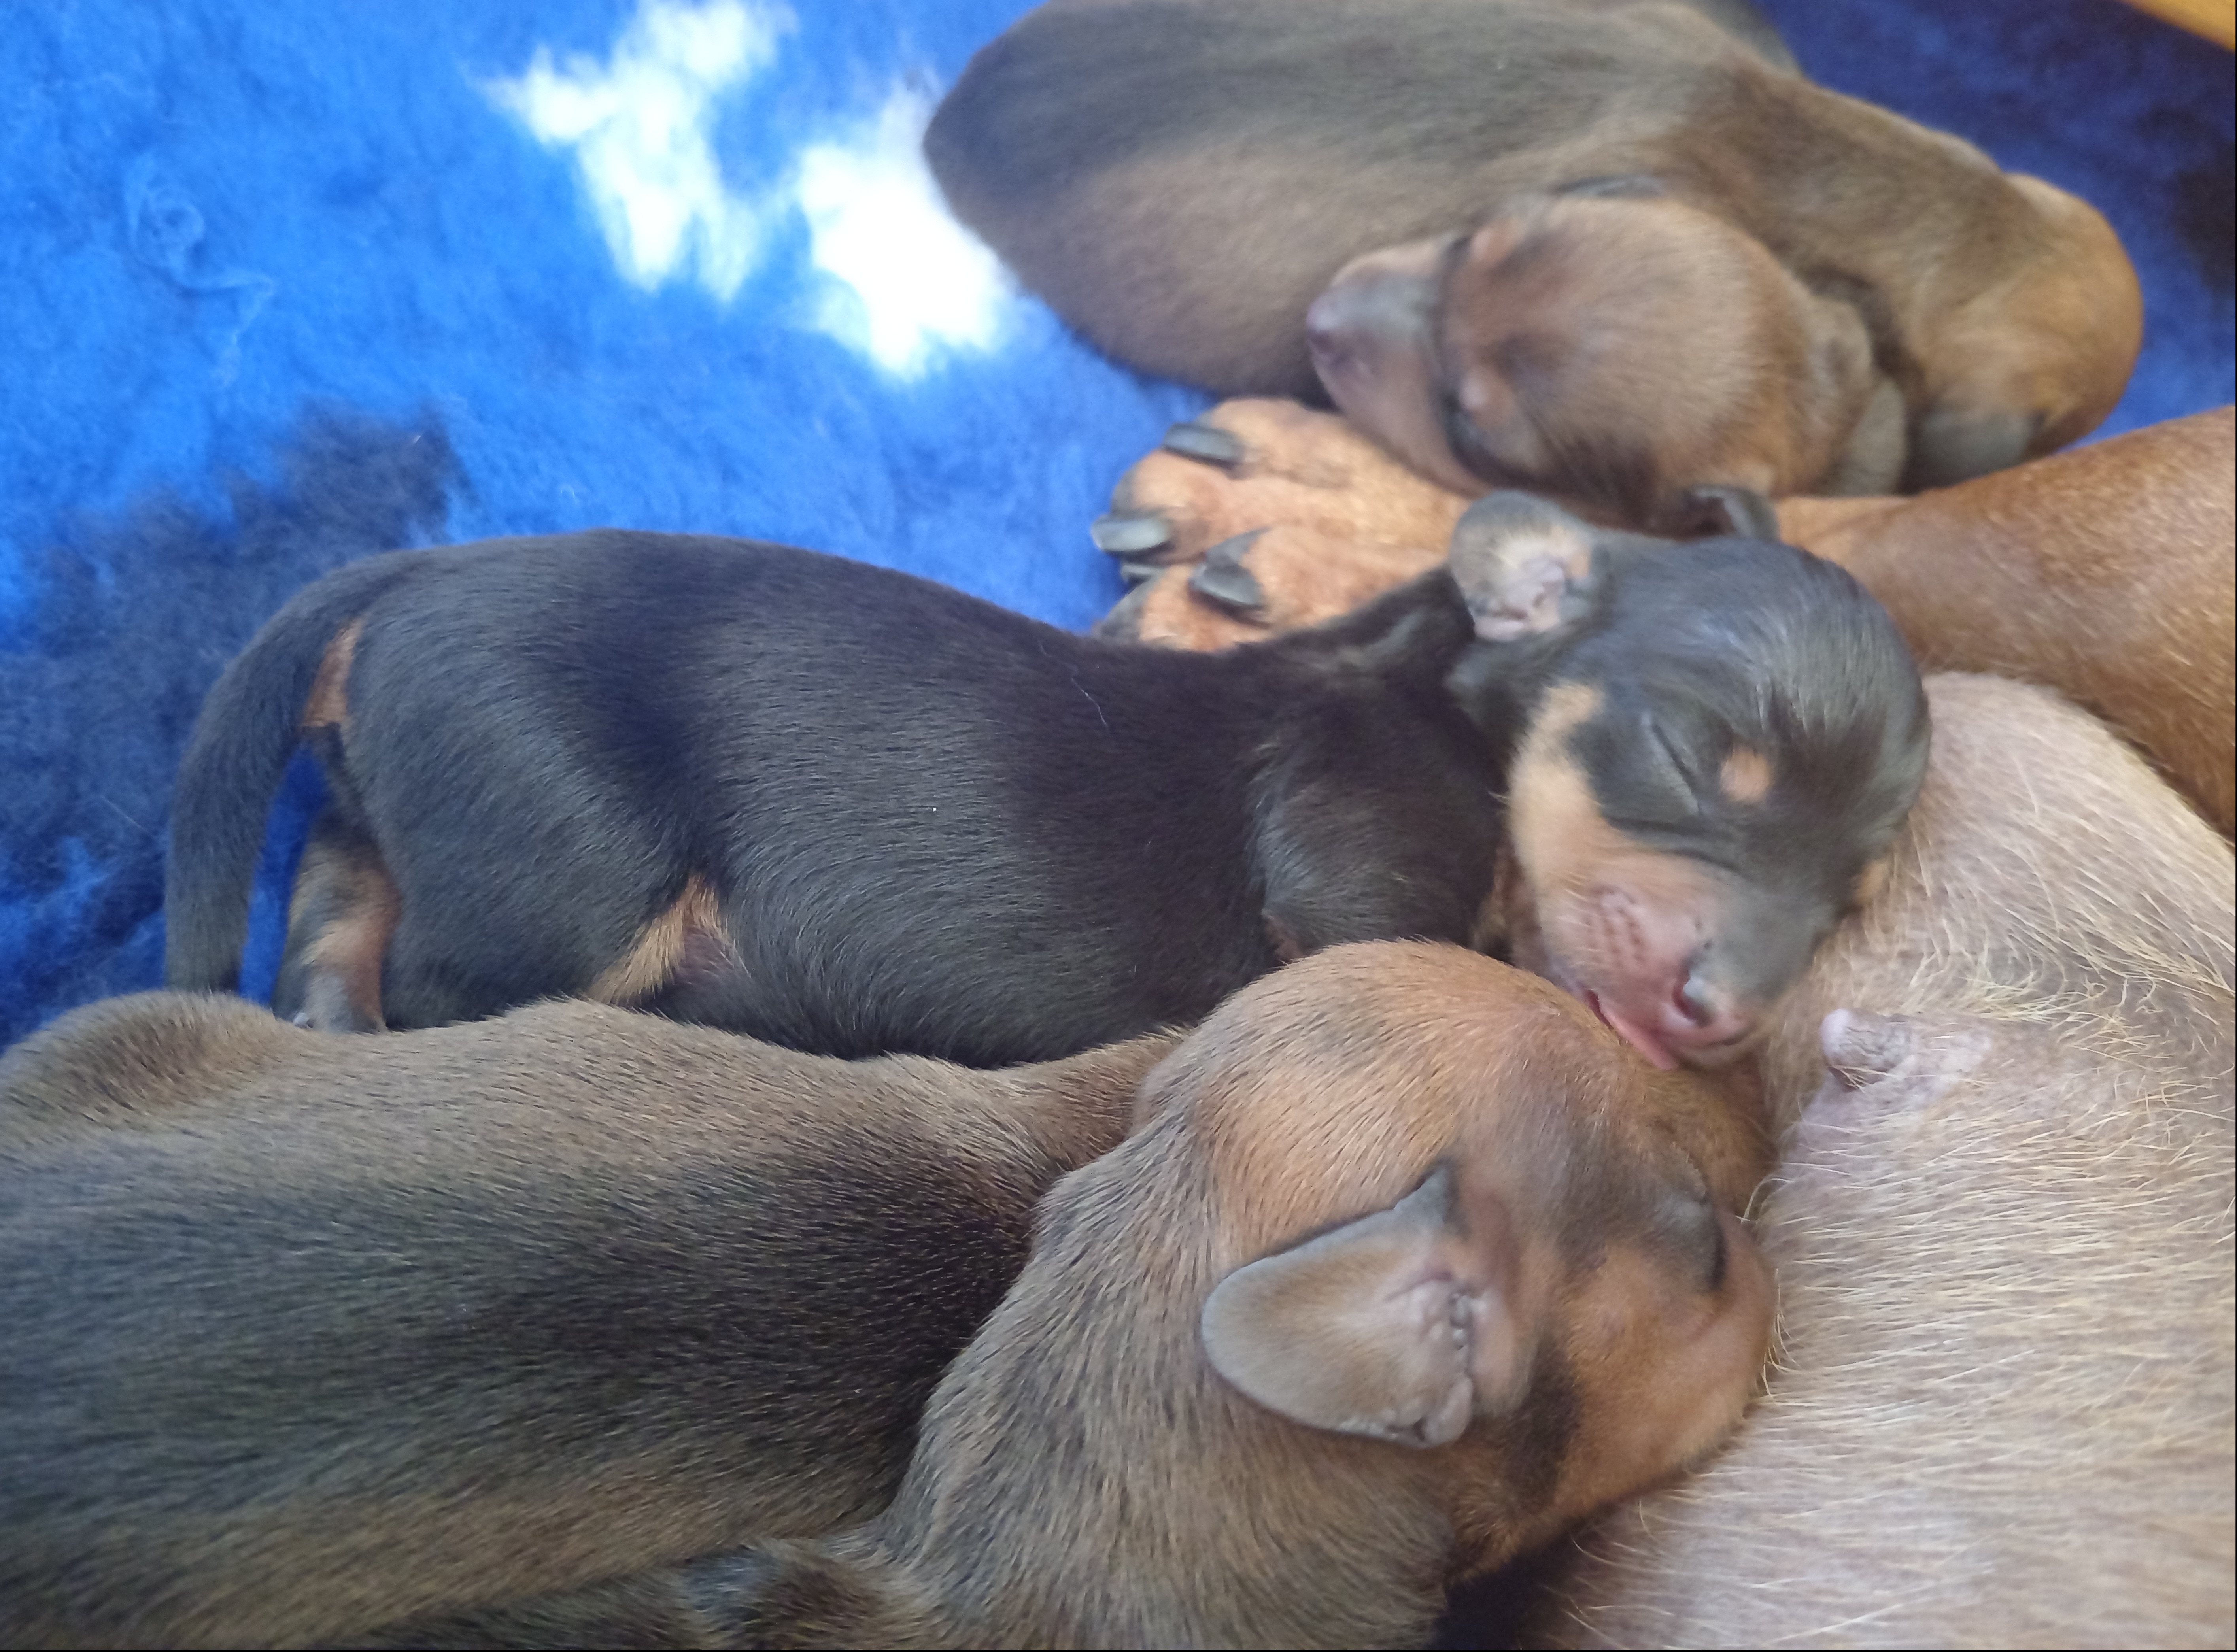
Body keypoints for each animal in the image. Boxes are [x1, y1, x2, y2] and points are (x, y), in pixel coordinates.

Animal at [165, 514, 1933, 1073]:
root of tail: (413, 580)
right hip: (573, 863)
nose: (1723, 1014)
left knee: (341, 874)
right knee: (448, 975)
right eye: (1700, 761)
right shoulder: (1352, 863)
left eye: (1850, 890)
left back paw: (315, 1000)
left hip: (435, 804)